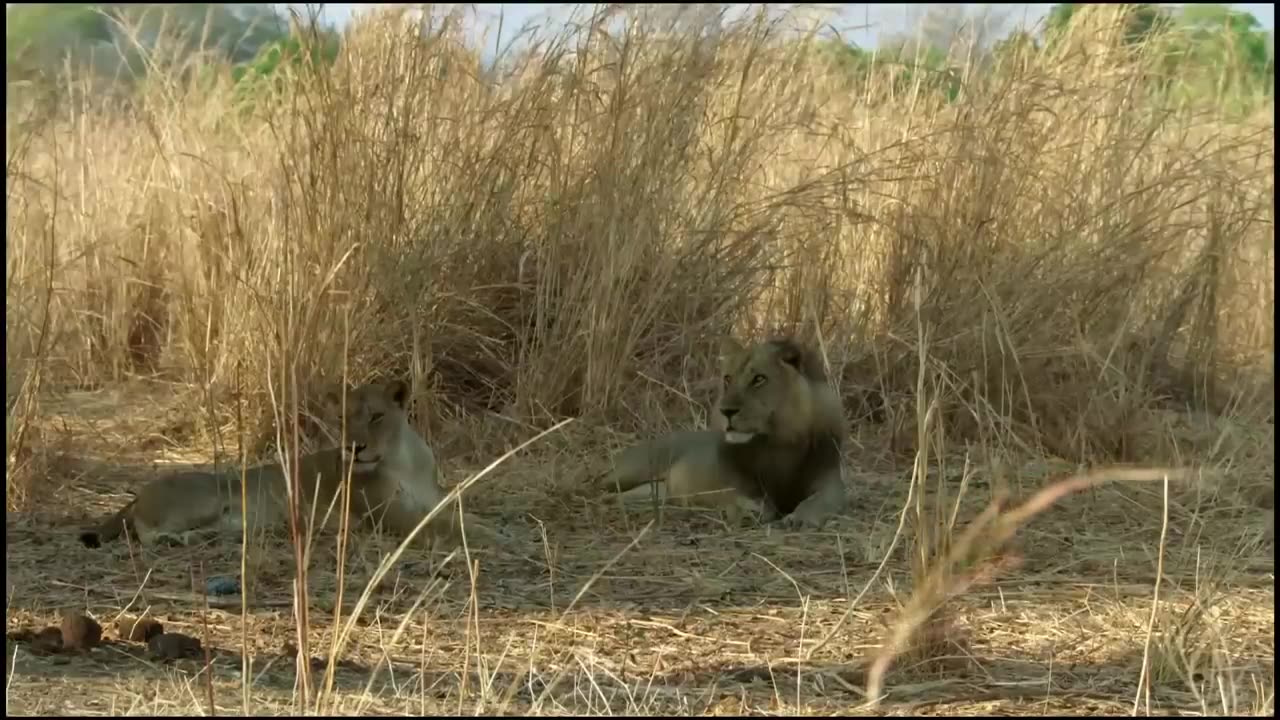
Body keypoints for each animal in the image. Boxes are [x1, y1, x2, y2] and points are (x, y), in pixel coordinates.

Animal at [77, 379, 501, 550]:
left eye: (377, 416)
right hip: (209, 496)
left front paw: (489, 527)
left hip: (234, 523)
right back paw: (171, 540)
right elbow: (442, 526)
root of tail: (137, 494)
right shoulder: (387, 516)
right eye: (343, 418)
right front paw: (488, 536)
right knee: (143, 533)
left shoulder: (433, 500)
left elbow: (461, 515)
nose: (355, 447)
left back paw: (197, 540)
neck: (403, 459)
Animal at [601, 335, 849, 527]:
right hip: (635, 468)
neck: (781, 439)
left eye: (759, 379)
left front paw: (801, 517)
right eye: (728, 378)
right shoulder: (728, 479)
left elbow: (822, 500)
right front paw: (747, 511)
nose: (726, 411)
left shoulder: (829, 480)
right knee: (598, 484)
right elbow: (745, 499)